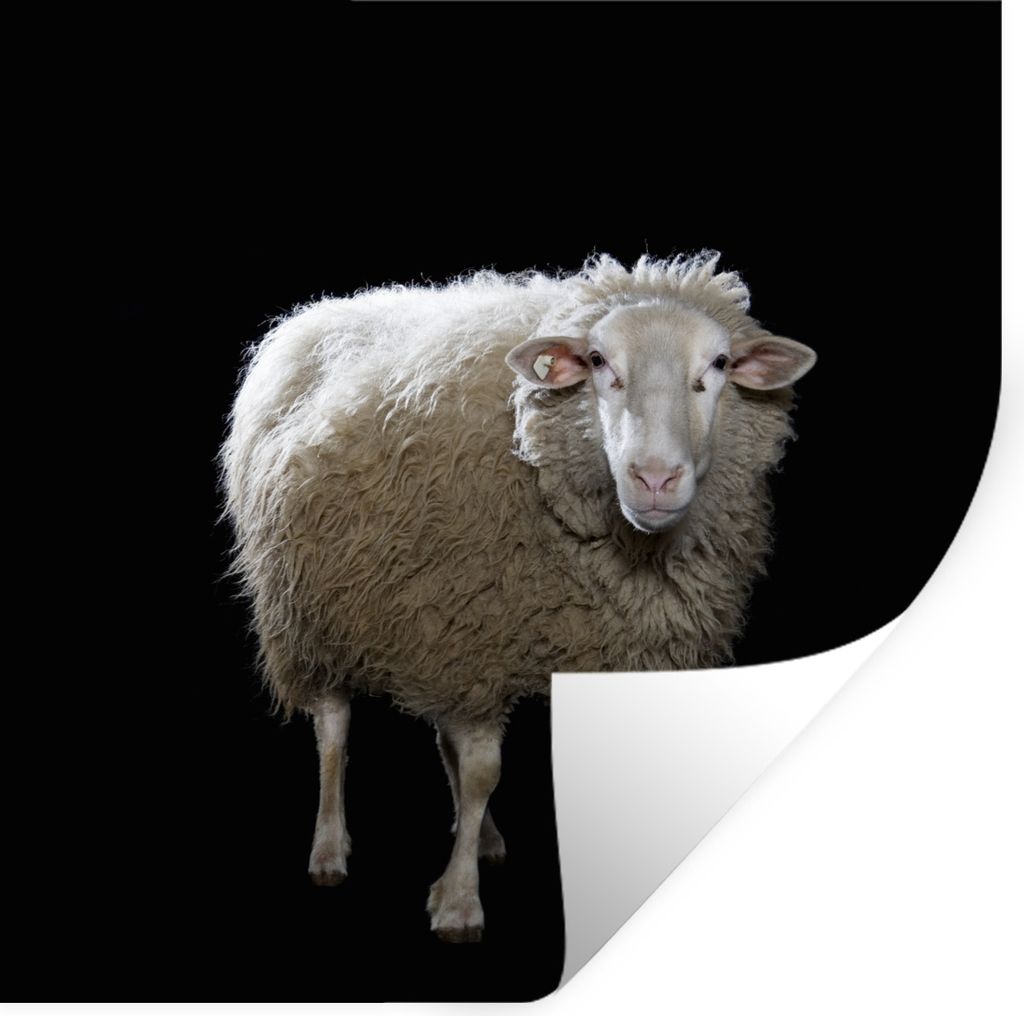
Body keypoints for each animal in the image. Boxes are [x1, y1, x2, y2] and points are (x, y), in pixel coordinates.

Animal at [217, 251, 817, 943]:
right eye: (598, 362)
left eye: (718, 365)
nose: (655, 478)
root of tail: (314, 315)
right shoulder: (477, 629)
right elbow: (481, 771)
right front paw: (458, 904)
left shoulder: (480, 632)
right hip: (311, 606)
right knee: (335, 727)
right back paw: (330, 848)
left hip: (425, 617)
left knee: (438, 735)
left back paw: (484, 839)